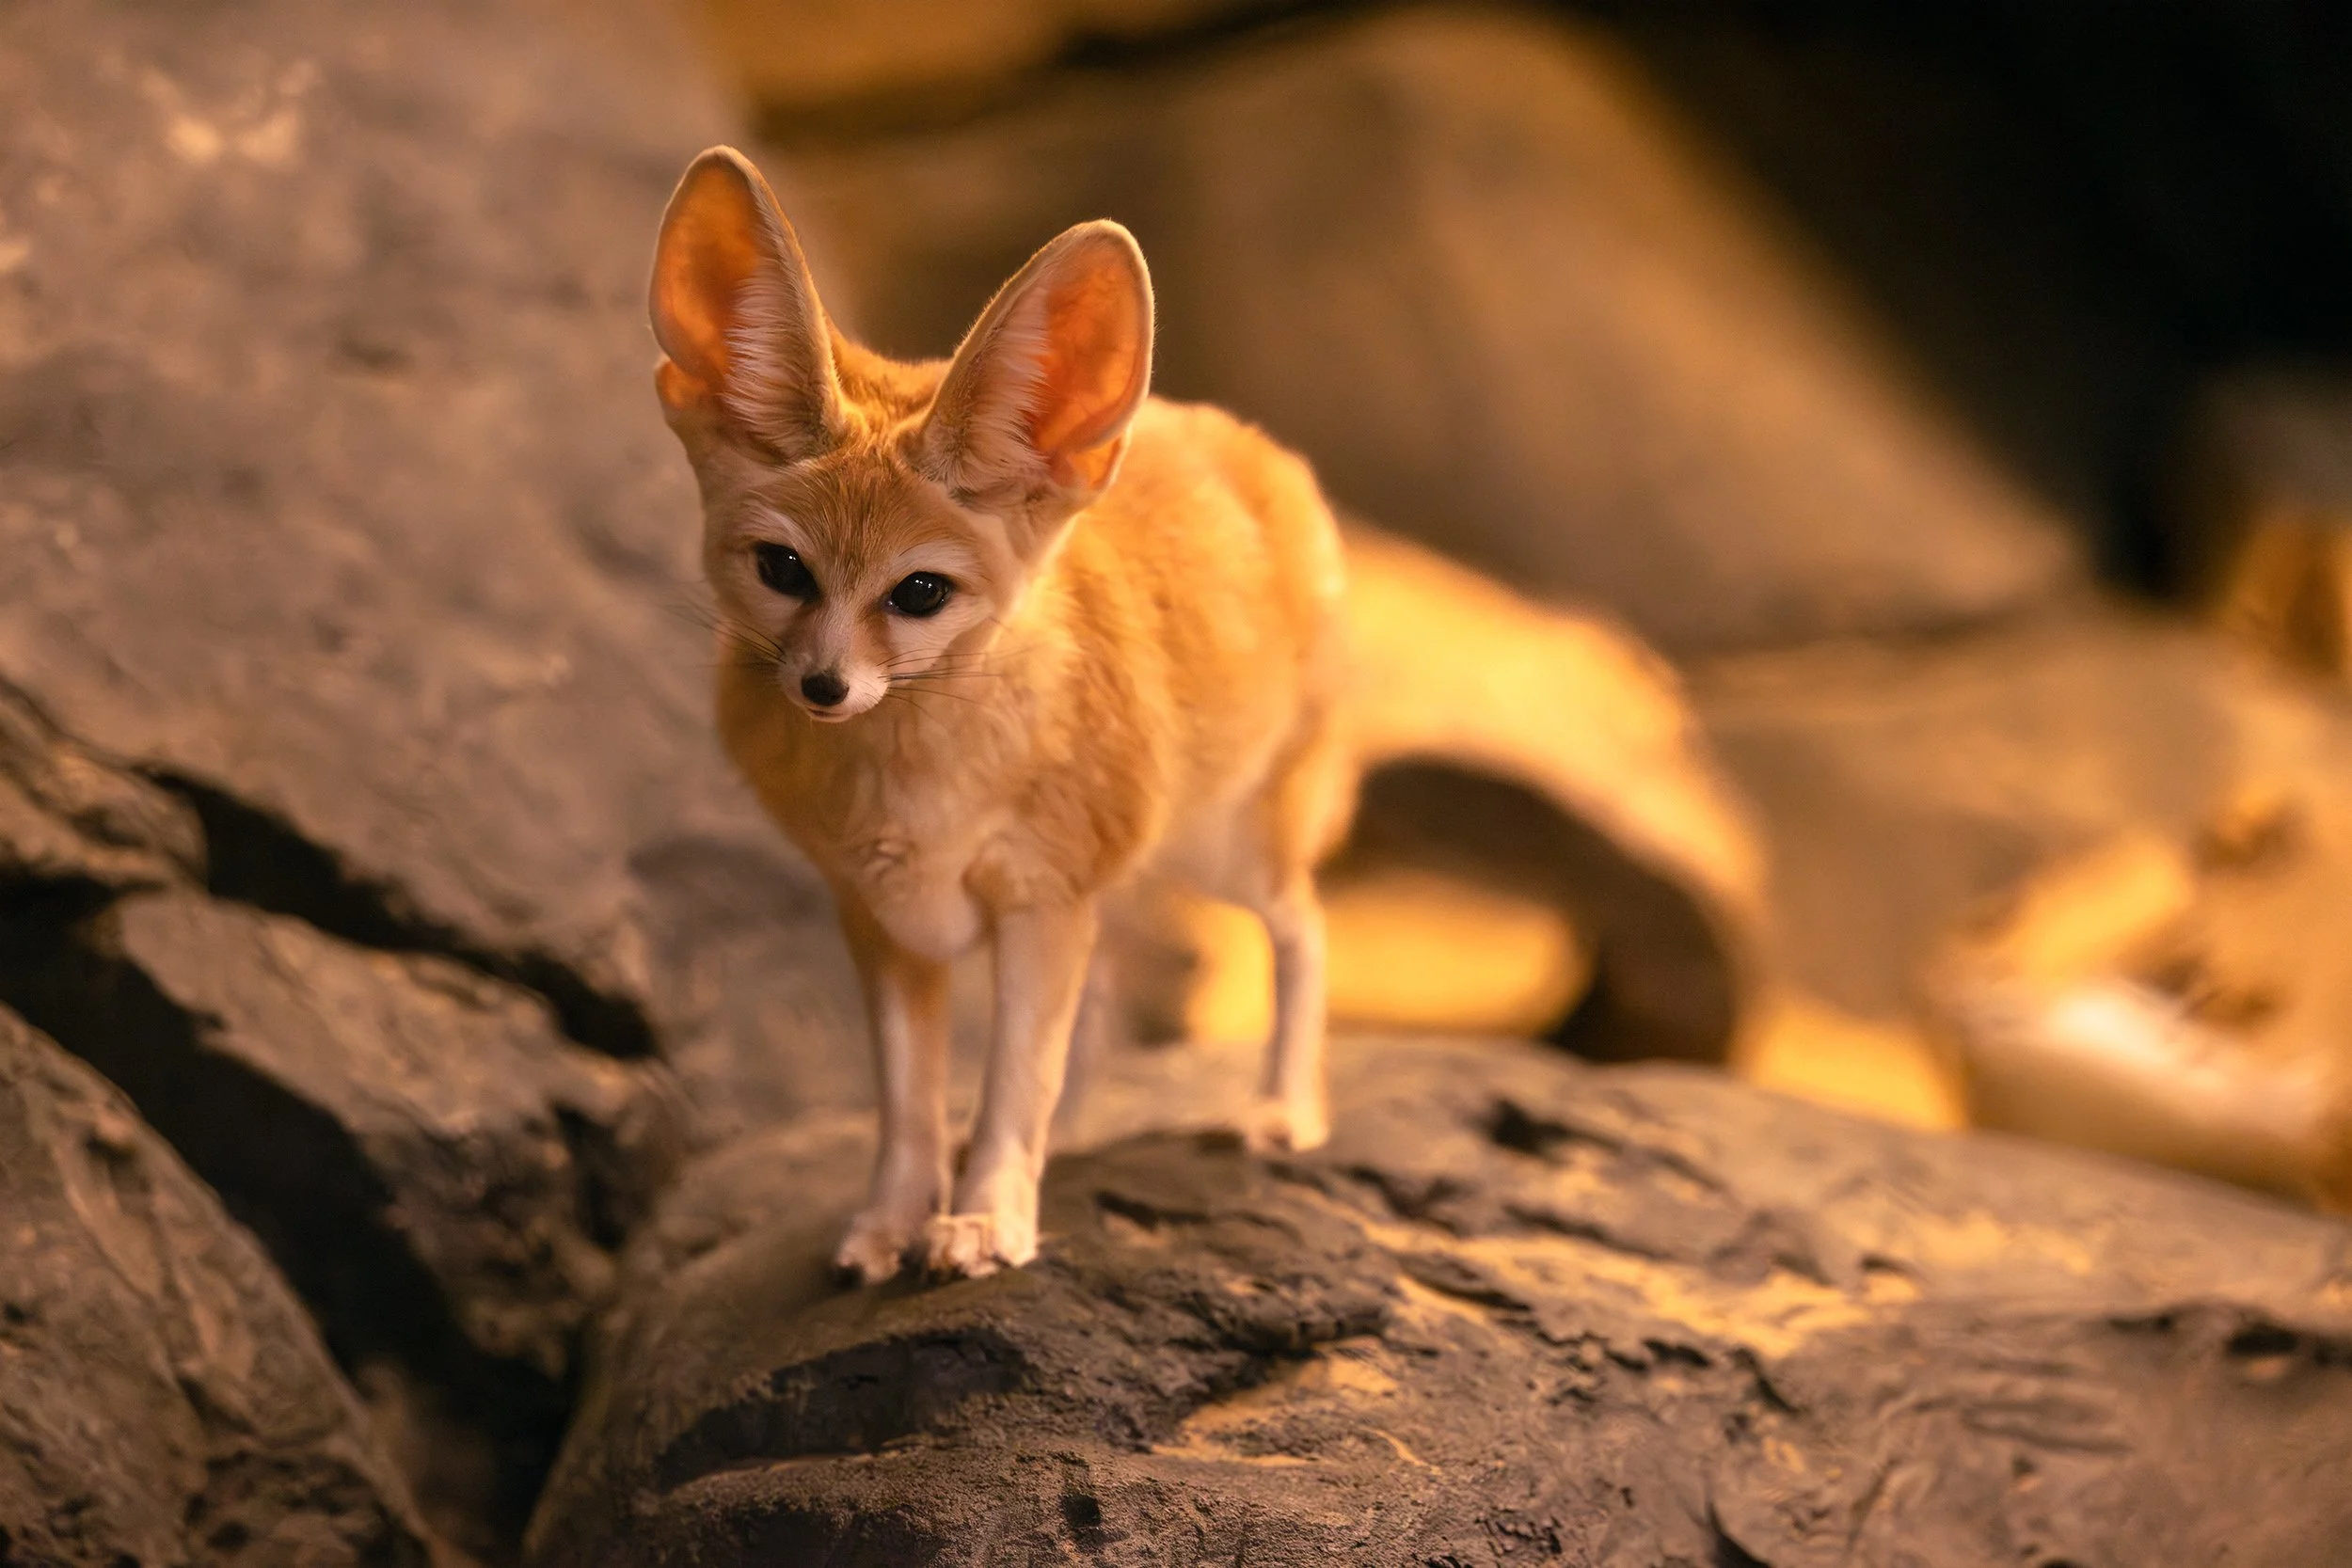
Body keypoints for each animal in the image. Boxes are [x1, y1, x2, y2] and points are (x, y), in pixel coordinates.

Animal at [647, 147, 1355, 1282]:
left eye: (920, 593)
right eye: (783, 570)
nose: (823, 687)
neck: (913, 782)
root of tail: (1242, 439)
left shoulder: (1039, 903)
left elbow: (1016, 1072)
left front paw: (982, 1214)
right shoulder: (883, 918)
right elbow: (910, 1102)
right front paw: (895, 1216)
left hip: (1222, 853)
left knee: (1303, 929)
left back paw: (1284, 1108)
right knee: (1107, 1003)